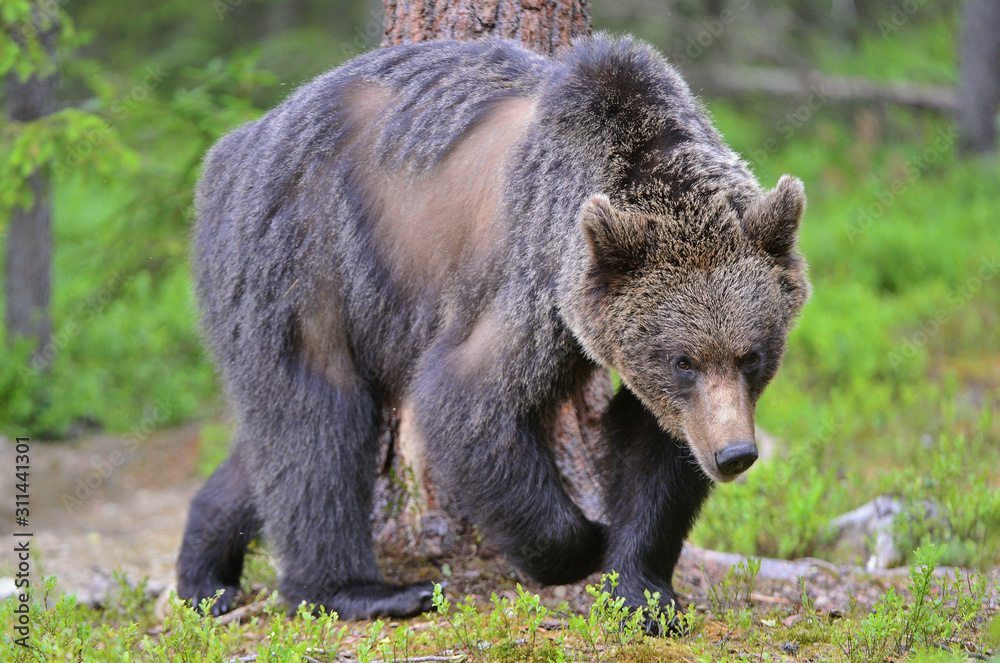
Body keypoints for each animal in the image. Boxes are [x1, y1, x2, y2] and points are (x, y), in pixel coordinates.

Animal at [177, 34, 809, 628]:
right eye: (683, 359)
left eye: (752, 356)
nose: (734, 453)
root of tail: (235, 147)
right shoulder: (531, 277)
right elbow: (466, 397)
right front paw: (584, 542)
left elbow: (653, 446)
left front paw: (644, 591)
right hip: (306, 258)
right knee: (317, 424)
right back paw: (361, 591)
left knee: (270, 442)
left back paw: (205, 574)